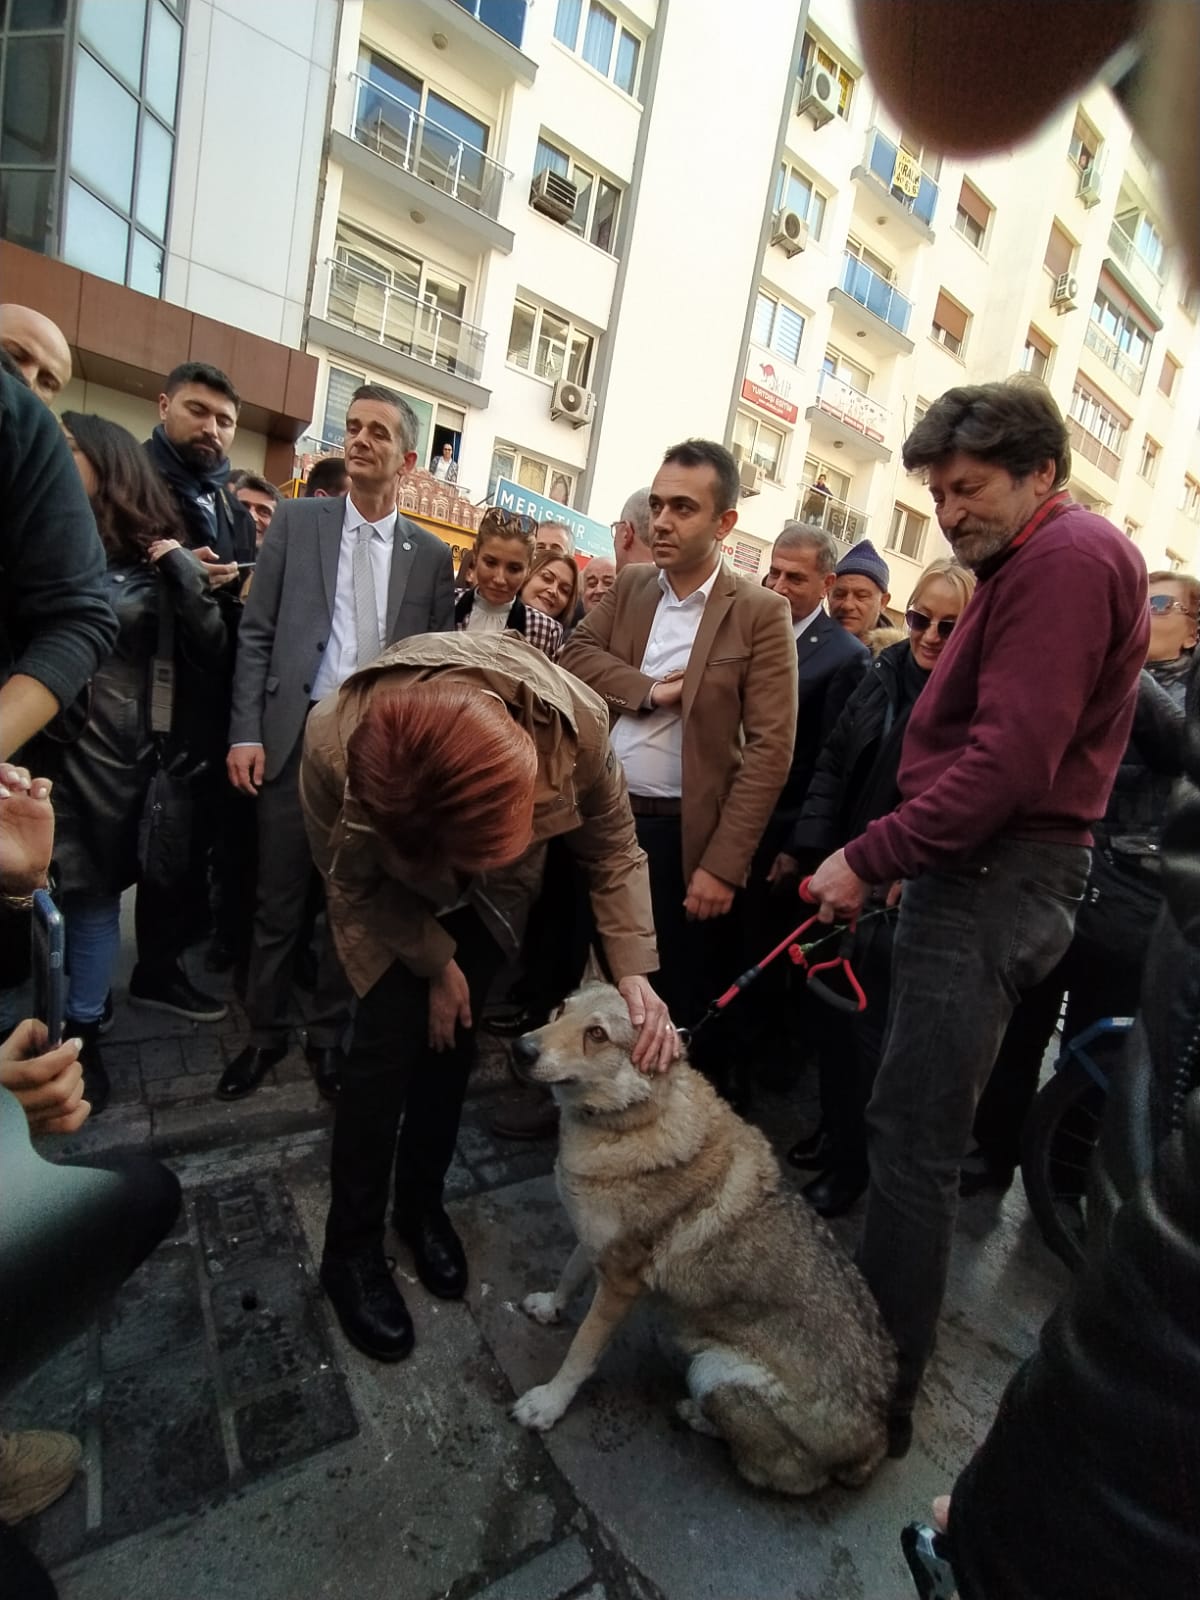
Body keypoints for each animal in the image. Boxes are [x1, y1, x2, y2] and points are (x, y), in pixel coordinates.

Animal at [512, 979, 896, 1491]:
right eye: (559, 1010)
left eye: (596, 1034)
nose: (521, 1049)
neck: (631, 1119)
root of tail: (875, 1441)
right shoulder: (598, 1244)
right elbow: (570, 1275)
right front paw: (549, 1308)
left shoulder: (621, 1283)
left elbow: (581, 1352)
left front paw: (548, 1405)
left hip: (712, 1370)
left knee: (779, 1472)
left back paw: (698, 1416)